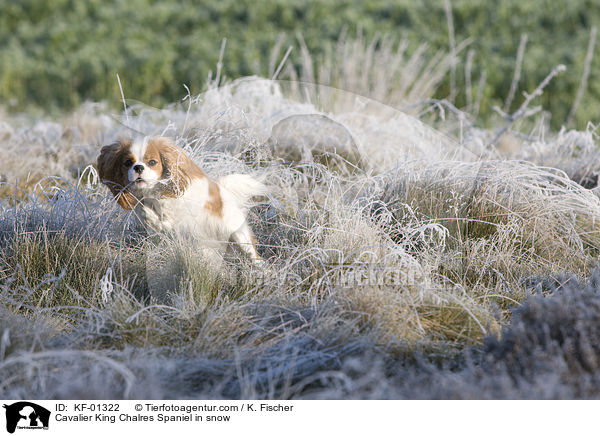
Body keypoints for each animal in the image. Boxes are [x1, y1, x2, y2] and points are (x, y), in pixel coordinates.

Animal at [98, 136, 264, 262]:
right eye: (127, 163)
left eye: (152, 162)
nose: (138, 167)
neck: (154, 194)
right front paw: (148, 214)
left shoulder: (181, 218)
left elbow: (165, 220)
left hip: (239, 236)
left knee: (255, 256)